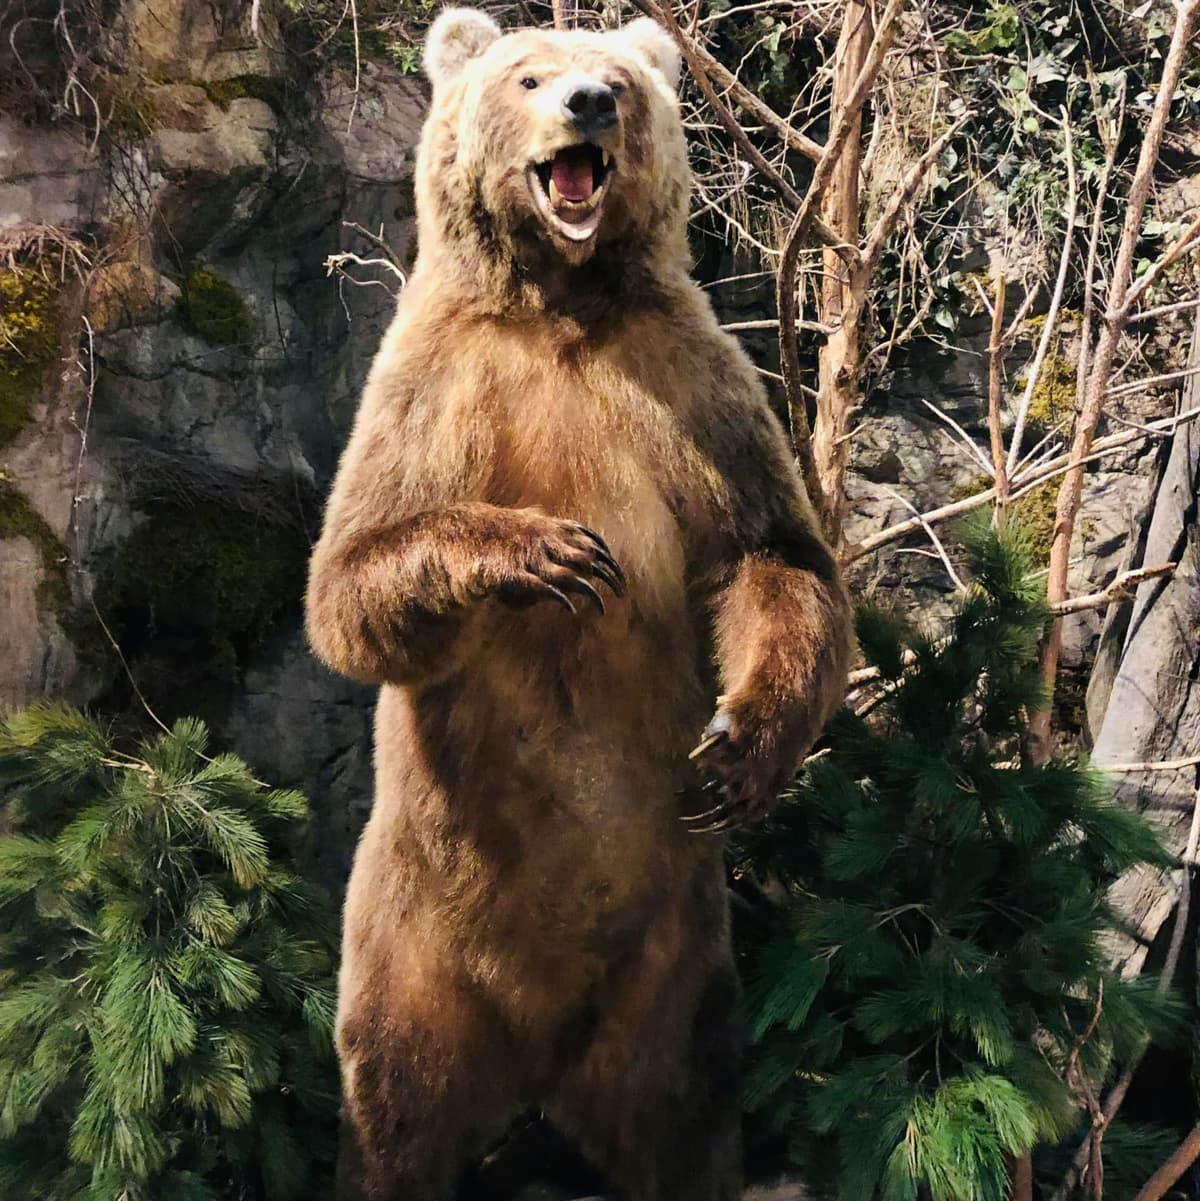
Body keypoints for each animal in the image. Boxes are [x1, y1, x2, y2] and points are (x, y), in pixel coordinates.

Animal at [304, 9, 851, 1200]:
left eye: (621, 80)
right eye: (528, 74)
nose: (588, 104)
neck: (559, 302)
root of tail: (539, 1058)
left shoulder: (689, 381)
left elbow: (771, 556)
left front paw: (739, 749)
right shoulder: (433, 387)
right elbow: (353, 579)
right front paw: (550, 553)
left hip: (674, 967)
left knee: (687, 1105)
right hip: (409, 947)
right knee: (392, 1102)